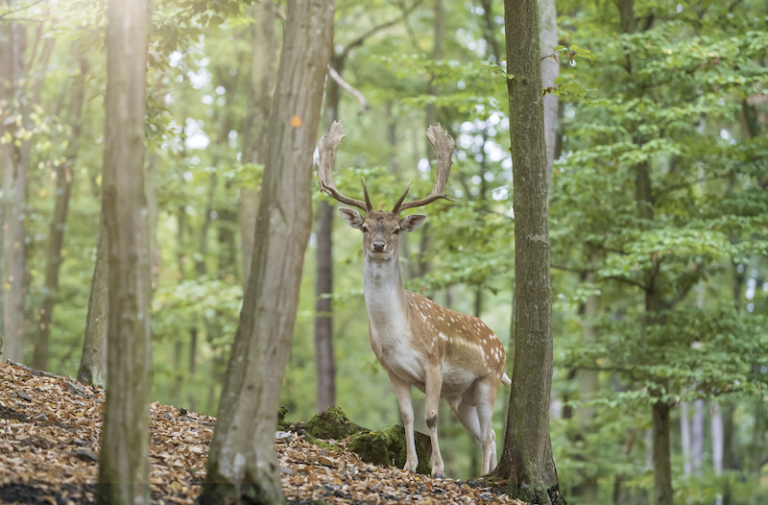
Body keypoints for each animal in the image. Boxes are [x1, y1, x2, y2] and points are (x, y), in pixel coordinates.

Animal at [316, 121, 511, 479]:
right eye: (365, 227)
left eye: (396, 229)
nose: (378, 245)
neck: (398, 332)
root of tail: (502, 346)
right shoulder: (392, 369)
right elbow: (407, 416)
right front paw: (409, 465)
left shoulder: (434, 360)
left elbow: (430, 417)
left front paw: (438, 470)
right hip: (461, 398)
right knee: (487, 432)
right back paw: (485, 473)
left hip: (488, 379)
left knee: (490, 431)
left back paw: (482, 476)